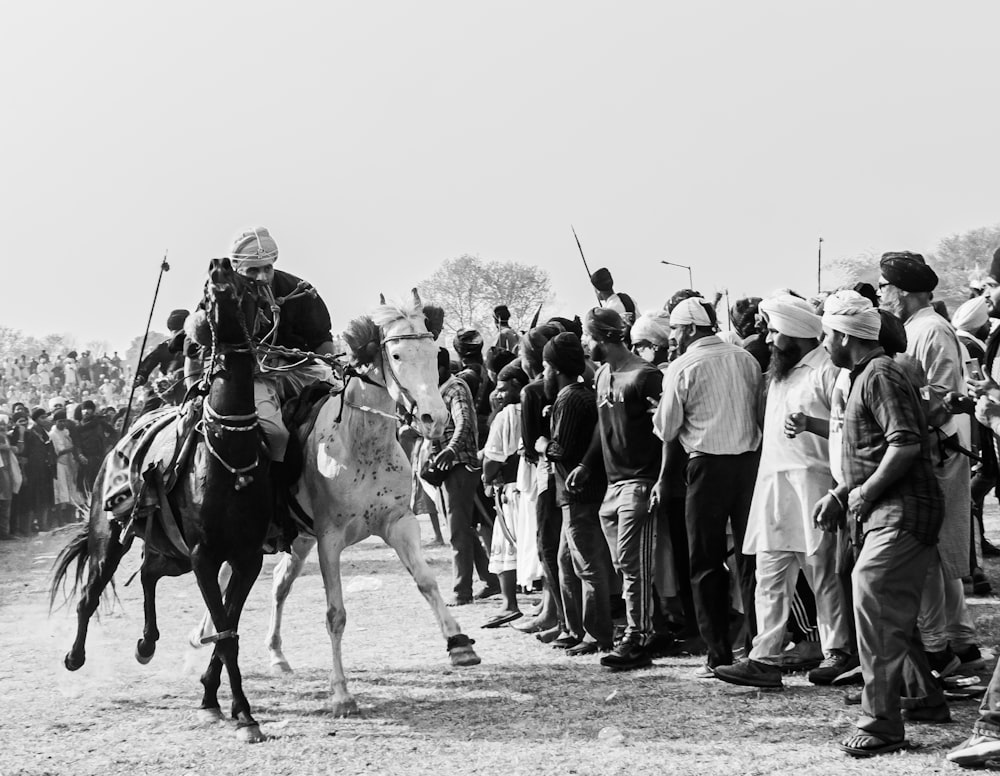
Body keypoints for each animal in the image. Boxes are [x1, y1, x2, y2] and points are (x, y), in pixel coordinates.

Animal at [49, 258, 272, 744]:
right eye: (205, 295)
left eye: (246, 289)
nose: (219, 266)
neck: (230, 450)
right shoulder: (206, 555)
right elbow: (224, 634)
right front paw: (243, 713)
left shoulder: (246, 557)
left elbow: (227, 628)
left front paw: (225, 703)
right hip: (111, 537)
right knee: (90, 594)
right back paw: (74, 656)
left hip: (173, 552)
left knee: (149, 572)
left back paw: (146, 643)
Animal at [194, 292, 480, 716]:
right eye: (396, 354)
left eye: (432, 351)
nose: (435, 417)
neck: (361, 444)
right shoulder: (330, 539)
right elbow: (335, 614)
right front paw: (342, 694)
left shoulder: (399, 523)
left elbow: (427, 582)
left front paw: (458, 644)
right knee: (232, 580)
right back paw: (205, 636)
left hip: (299, 542)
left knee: (278, 586)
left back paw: (276, 654)